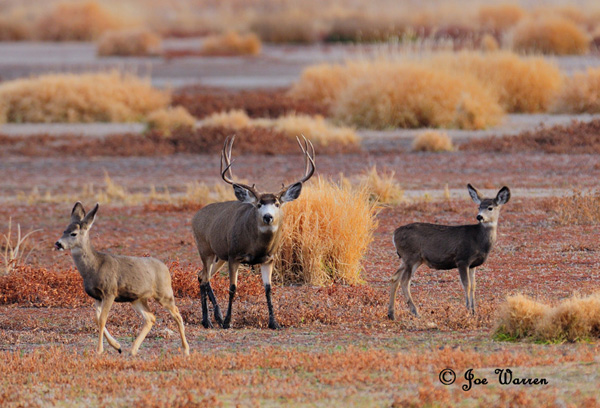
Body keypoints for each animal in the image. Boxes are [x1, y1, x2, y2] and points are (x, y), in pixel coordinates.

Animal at [55, 202, 190, 356]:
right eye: (64, 230)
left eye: (74, 233)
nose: (58, 244)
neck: (94, 267)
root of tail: (166, 268)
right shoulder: (97, 296)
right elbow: (96, 319)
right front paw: (117, 346)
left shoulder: (110, 291)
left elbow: (102, 319)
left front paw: (99, 350)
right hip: (137, 298)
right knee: (150, 317)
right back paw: (133, 350)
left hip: (164, 293)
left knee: (177, 314)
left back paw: (186, 349)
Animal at [193, 135, 316, 330]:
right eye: (258, 204)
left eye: (277, 204)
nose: (268, 217)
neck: (257, 247)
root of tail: (195, 216)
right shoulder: (234, 255)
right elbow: (232, 288)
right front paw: (228, 321)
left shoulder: (269, 259)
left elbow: (268, 289)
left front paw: (274, 323)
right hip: (205, 249)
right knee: (204, 277)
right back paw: (210, 320)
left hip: (219, 256)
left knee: (201, 276)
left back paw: (211, 319)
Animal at [390, 183, 510, 320]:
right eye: (479, 206)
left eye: (490, 208)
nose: (479, 216)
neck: (478, 240)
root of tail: (394, 233)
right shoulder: (462, 259)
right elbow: (467, 285)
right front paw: (468, 310)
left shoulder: (473, 265)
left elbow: (474, 286)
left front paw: (474, 311)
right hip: (411, 257)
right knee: (405, 281)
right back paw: (415, 312)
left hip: (408, 259)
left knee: (395, 278)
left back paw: (391, 314)